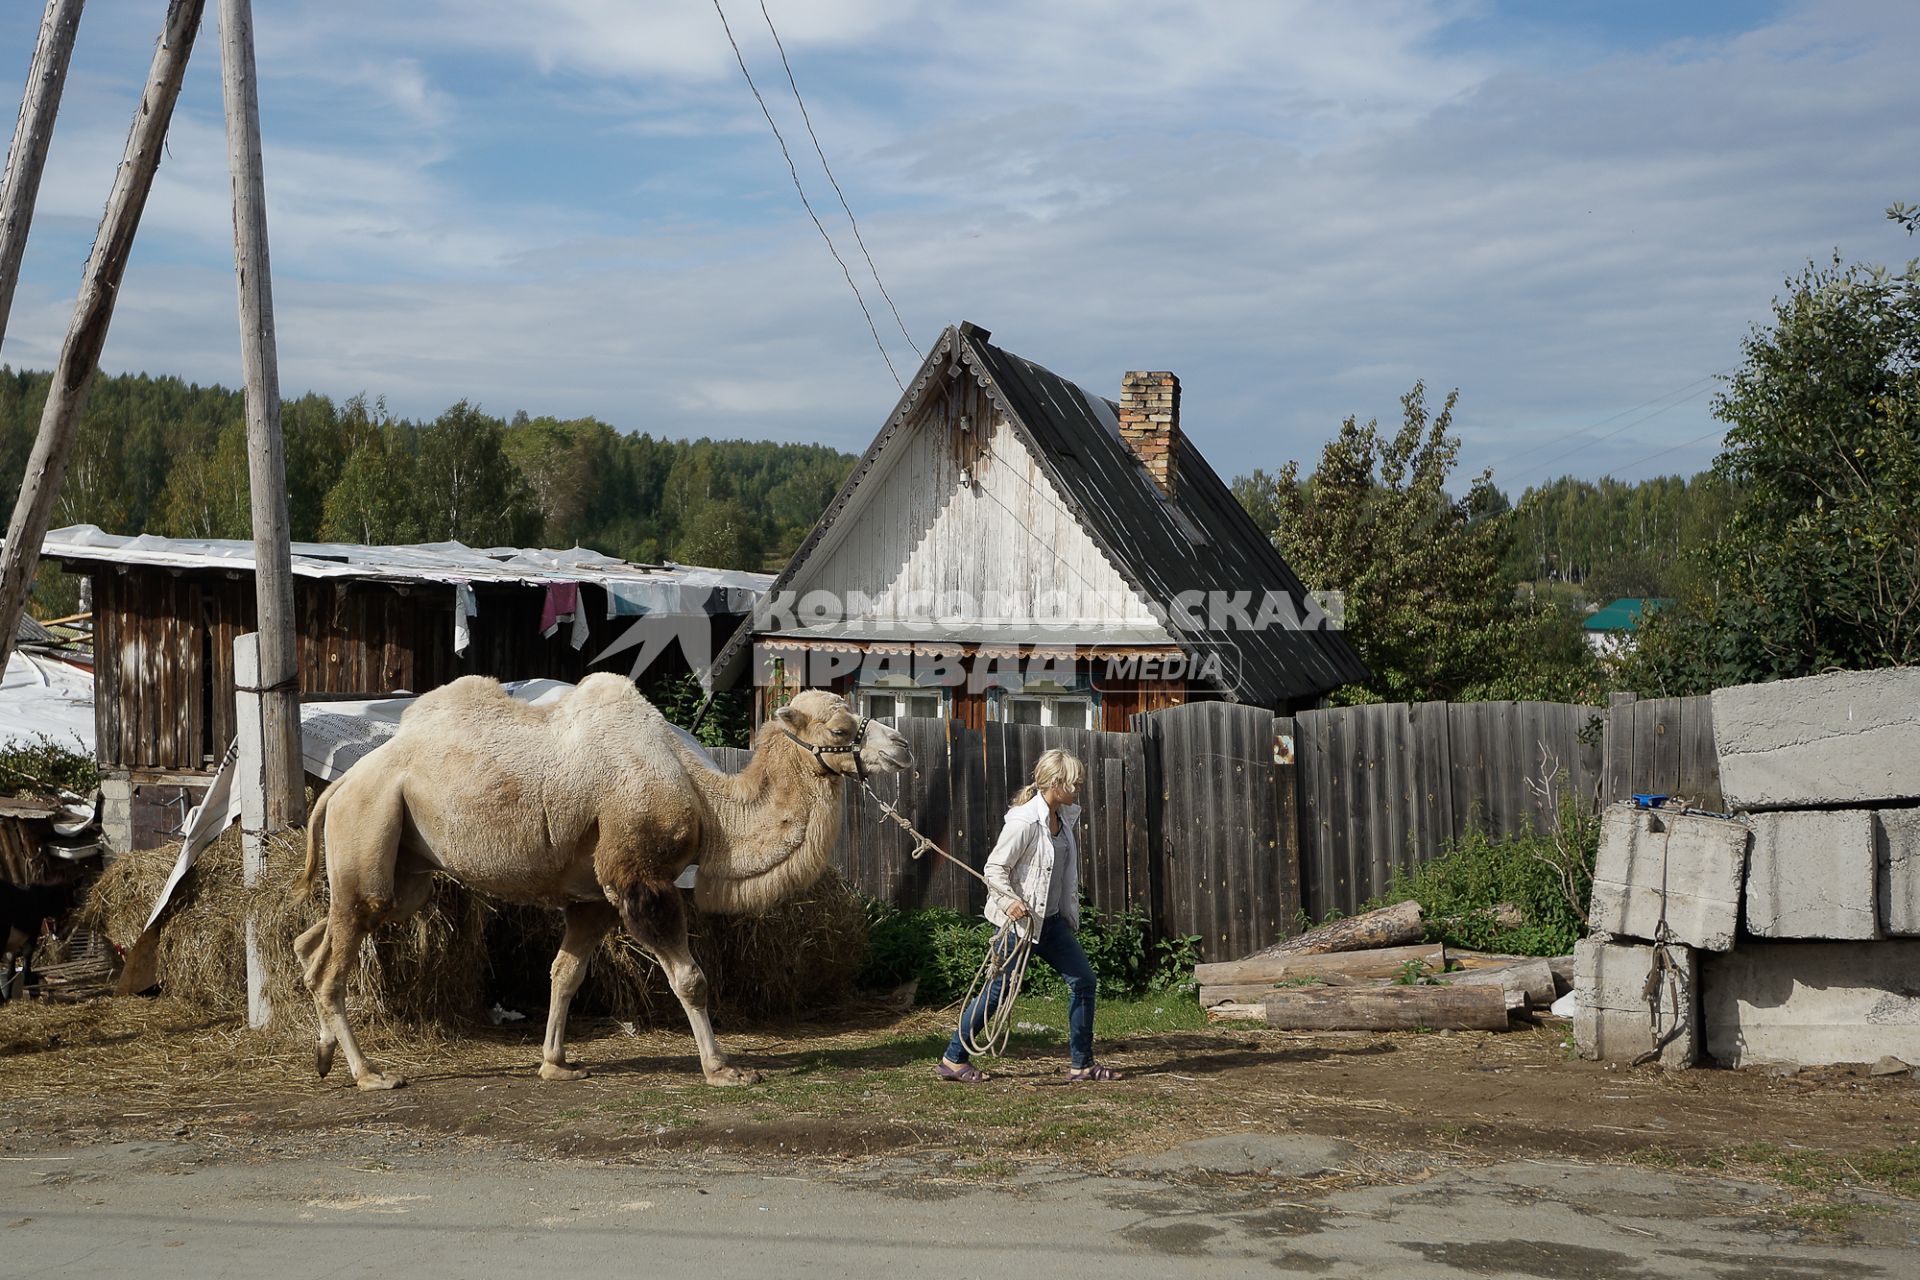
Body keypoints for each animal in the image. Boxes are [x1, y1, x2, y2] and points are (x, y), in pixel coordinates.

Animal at [291, 671, 906, 1090]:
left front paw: (555, 1064)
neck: (704, 798)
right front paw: (723, 1069)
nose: (900, 748)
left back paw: (323, 1055)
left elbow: (565, 973)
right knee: (336, 959)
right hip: (369, 824)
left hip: (405, 869)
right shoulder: (640, 880)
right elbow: (690, 979)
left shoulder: (597, 899)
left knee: (318, 939)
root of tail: (338, 785)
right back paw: (370, 1074)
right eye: (842, 727)